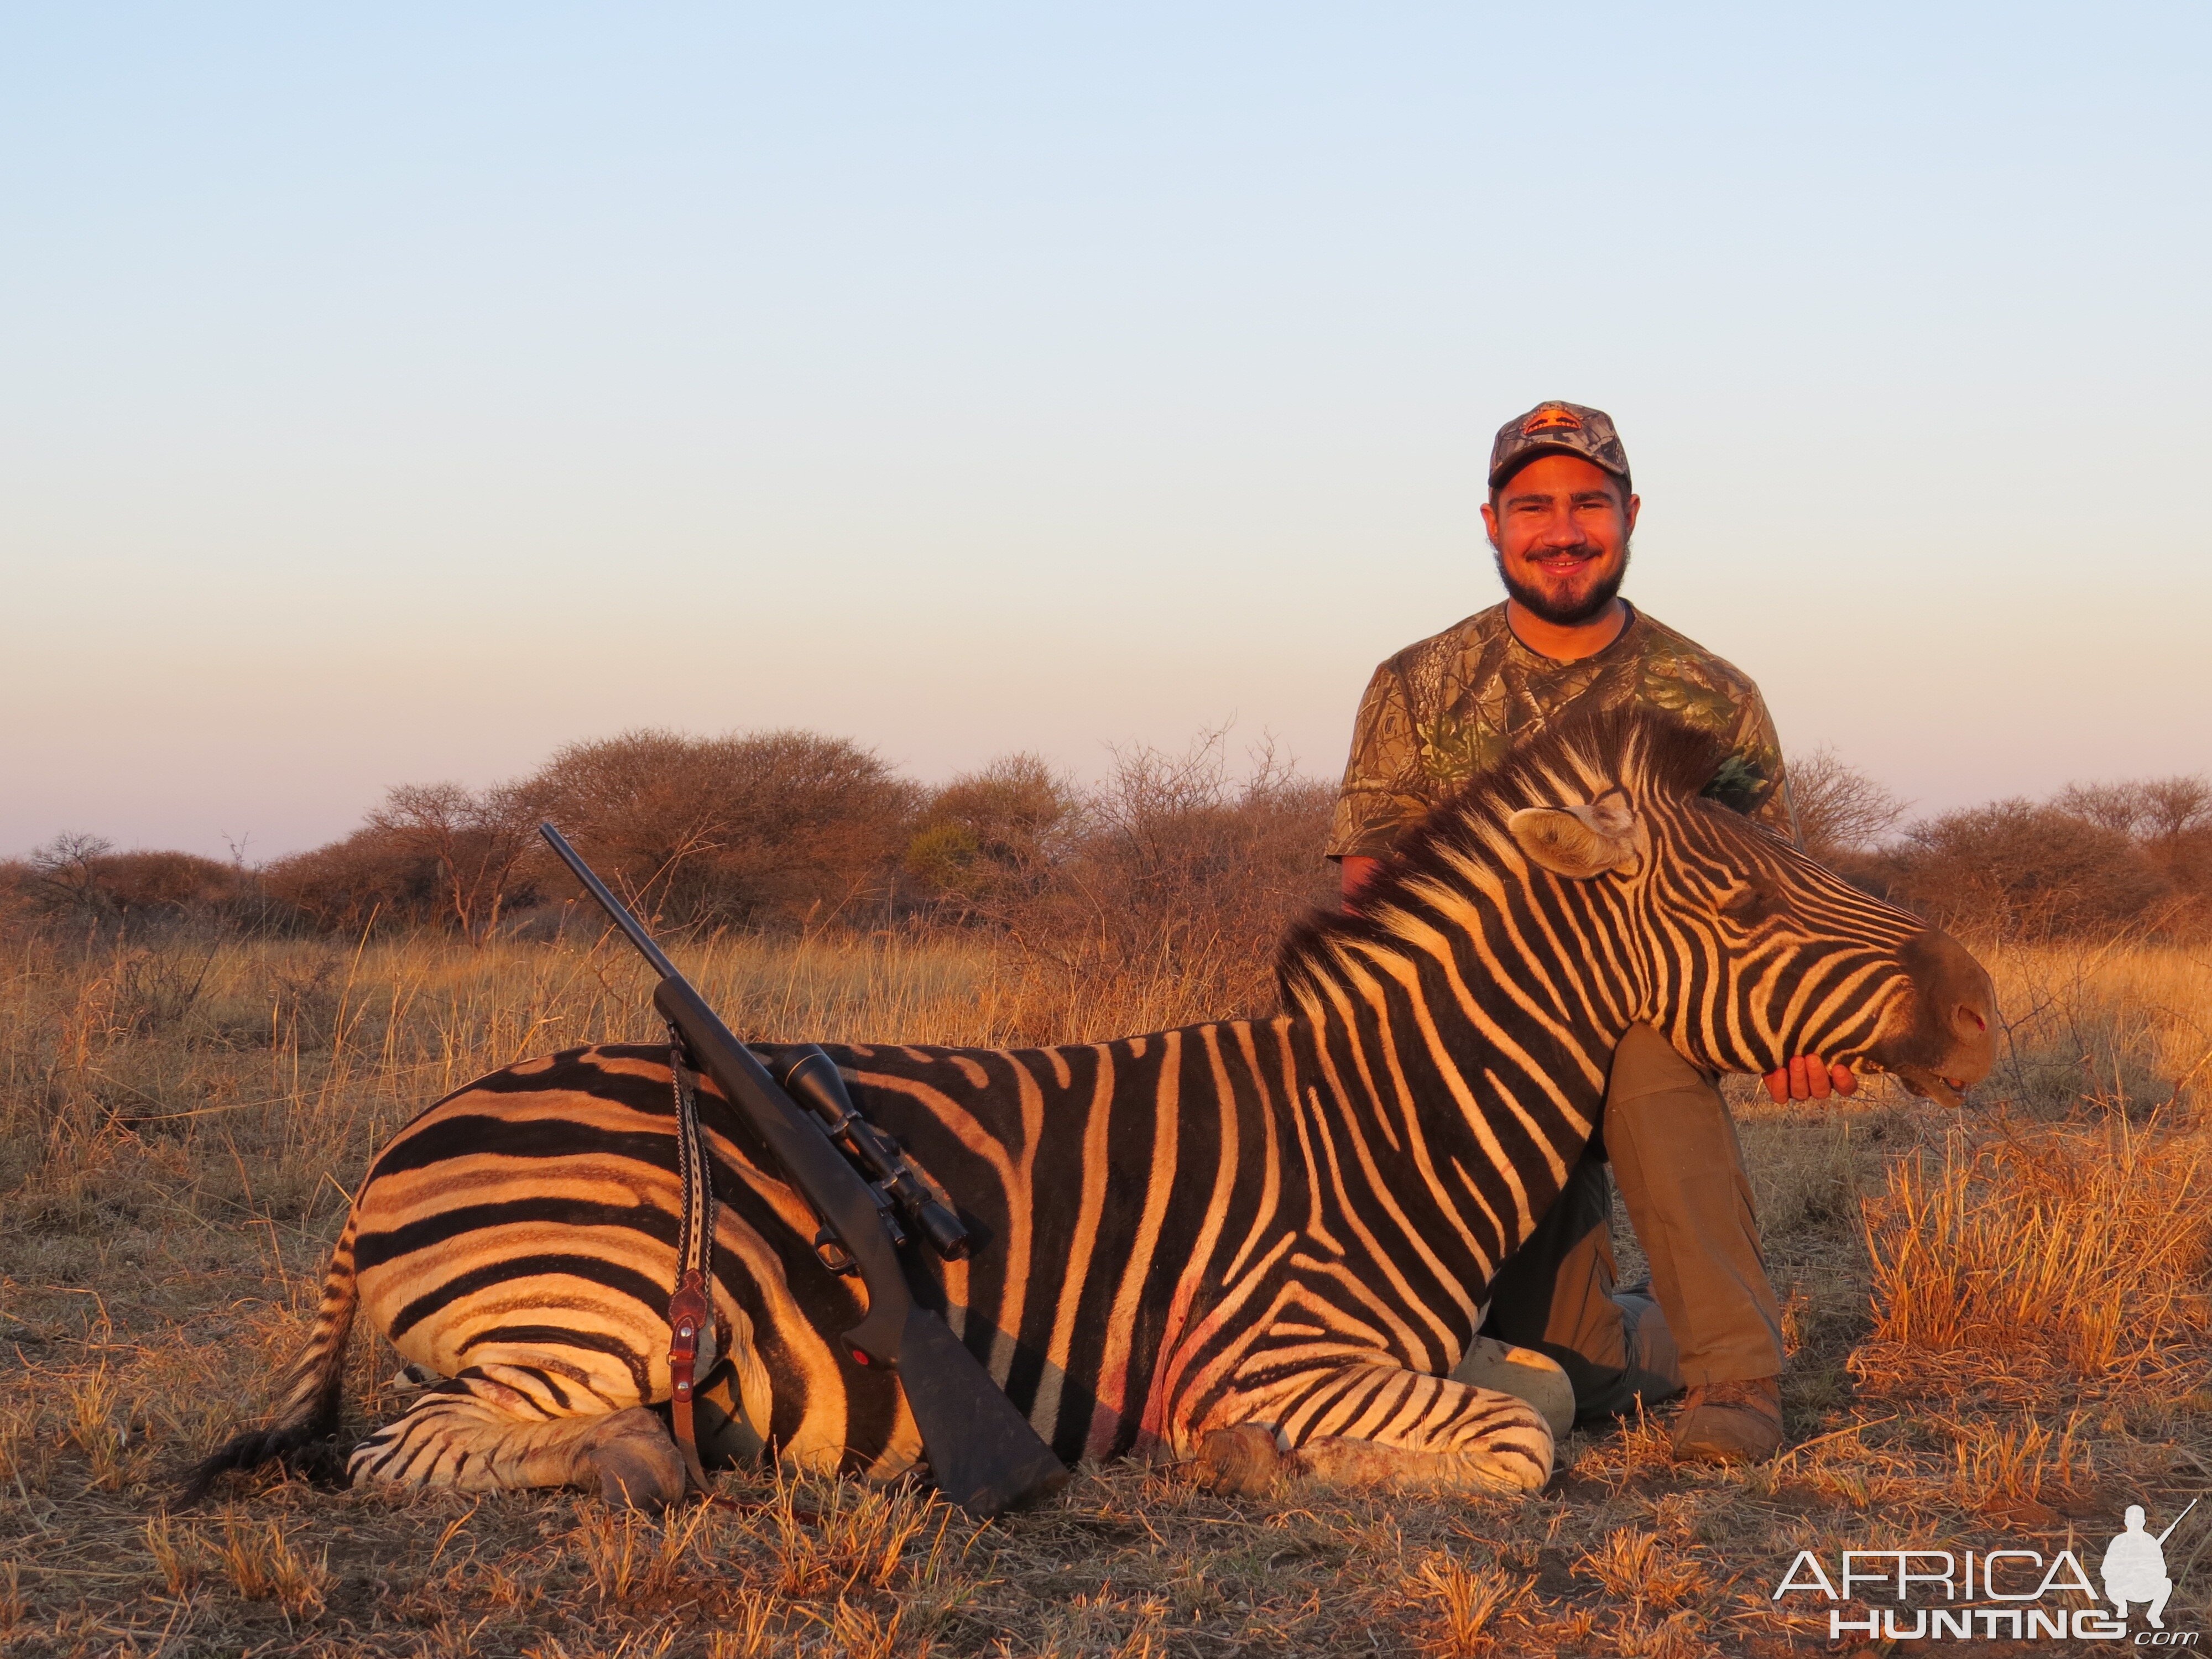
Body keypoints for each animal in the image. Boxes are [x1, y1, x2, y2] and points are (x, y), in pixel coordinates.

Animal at [186, 708, 1991, 1513]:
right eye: (1744, 906)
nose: (1978, 1007)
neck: (1384, 1118)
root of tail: (390, 1157)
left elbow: (1541, 1384)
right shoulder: (1281, 1347)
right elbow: (1514, 1443)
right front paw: (1249, 1456)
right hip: (602, 1304)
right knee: (408, 1450)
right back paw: (647, 1455)